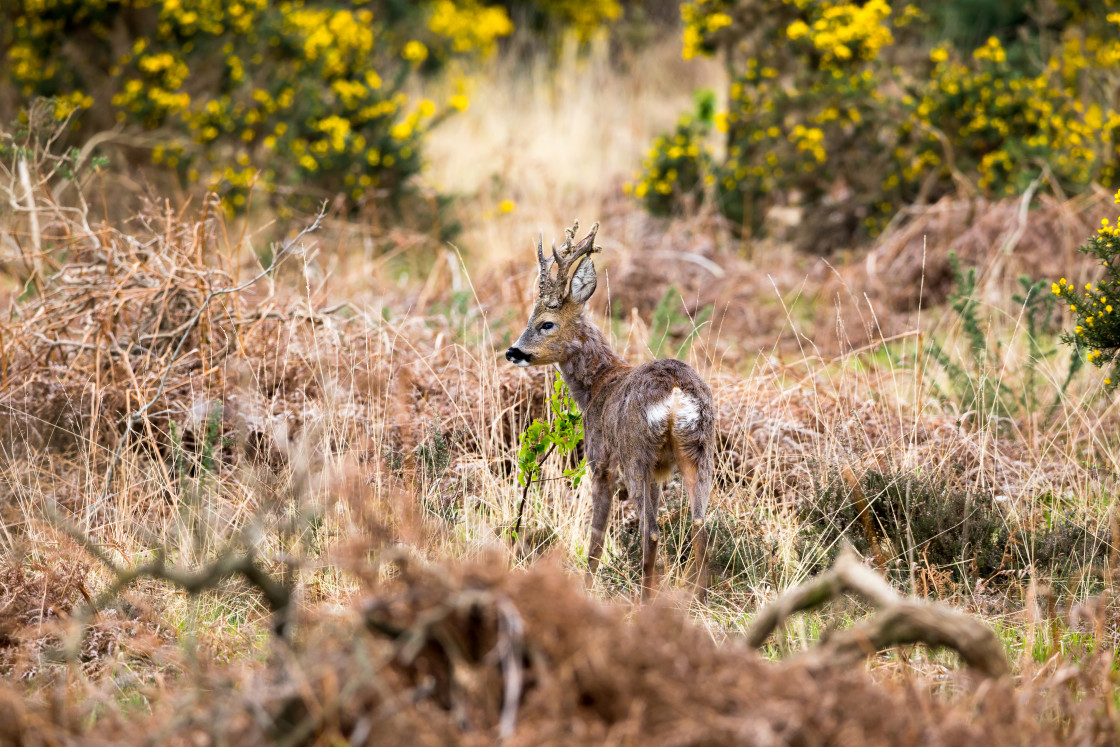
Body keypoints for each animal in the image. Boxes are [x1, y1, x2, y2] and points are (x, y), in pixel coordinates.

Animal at [504, 220, 712, 600]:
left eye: (546, 323)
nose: (513, 352)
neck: (597, 386)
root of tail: (676, 391)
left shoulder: (600, 462)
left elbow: (596, 536)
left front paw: (586, 588)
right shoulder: (659, 473)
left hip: (635, 453)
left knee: (652, 532)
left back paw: (645, 601)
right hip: (699, 449)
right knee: (700, 523)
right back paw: (696, 598)